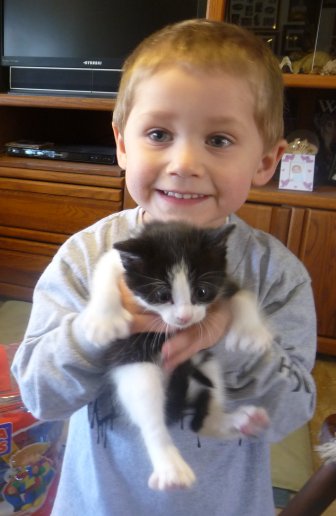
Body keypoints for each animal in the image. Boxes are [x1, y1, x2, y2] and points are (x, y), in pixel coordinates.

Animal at [82, 220, 272, 490]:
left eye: (201, 292)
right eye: (162, 296)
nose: (184, 317)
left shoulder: (222, 278)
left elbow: (241, 294)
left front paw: (251, 331)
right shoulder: (120, 262)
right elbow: (103, 270)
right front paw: (103, 321)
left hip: (205, 362)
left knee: (203, 413)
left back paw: (234, 422)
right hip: (133, 362)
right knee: (149, 409)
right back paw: (169, 466)